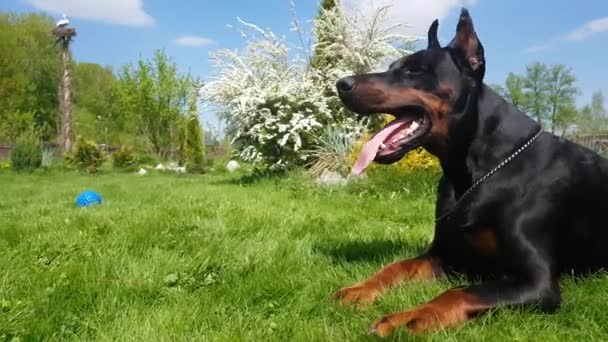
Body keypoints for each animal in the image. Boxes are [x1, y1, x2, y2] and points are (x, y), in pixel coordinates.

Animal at [332, 7, 608, 336]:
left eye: (415, 71)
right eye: (392, 67)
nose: (341, 83)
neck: (473, 172)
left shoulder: (537, 283)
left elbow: (458, 292)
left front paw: (411, 316)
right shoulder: (445, 256)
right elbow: (397, 265)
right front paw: (360, 289)